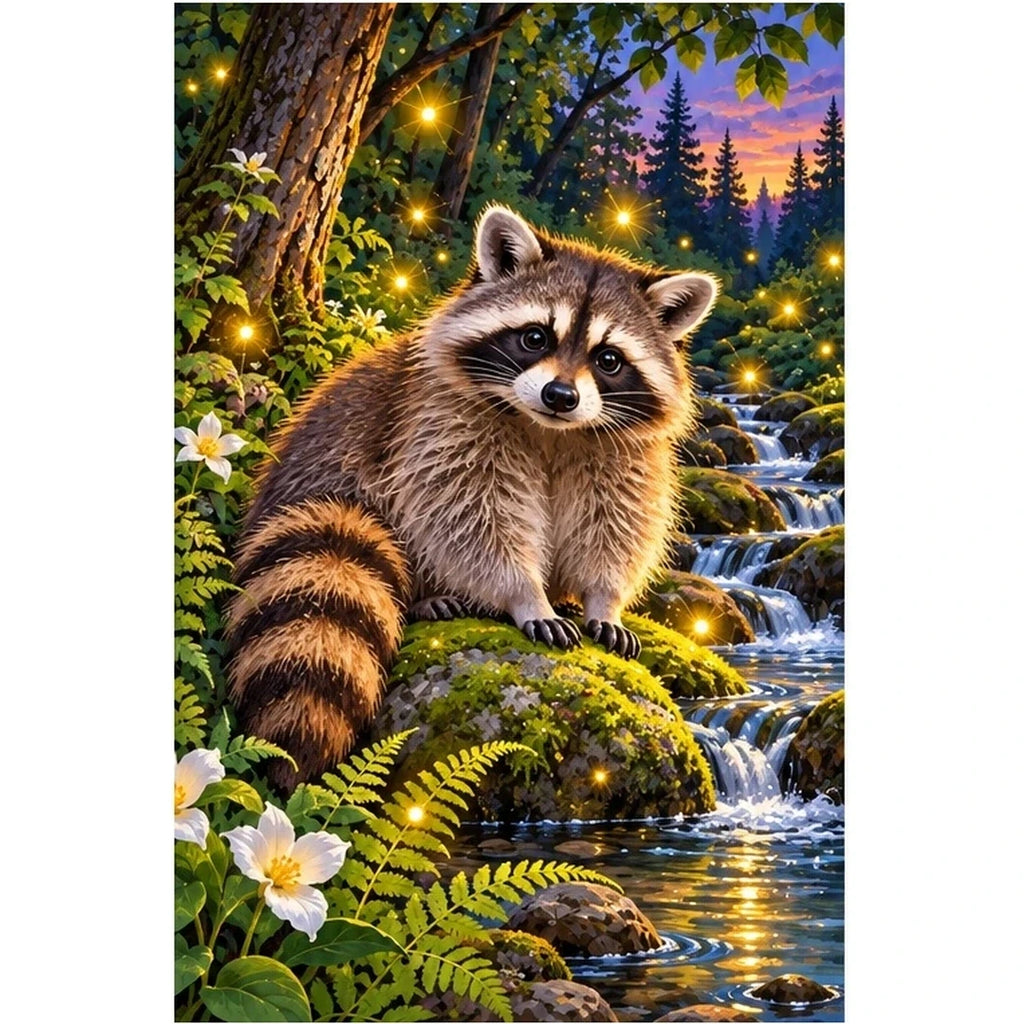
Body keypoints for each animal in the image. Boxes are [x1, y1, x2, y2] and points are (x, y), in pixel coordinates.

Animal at [226, 205, 719, 789]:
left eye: (608, 359)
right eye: (535, 337)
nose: (561, 396)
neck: (551, 429)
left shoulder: (623, 452)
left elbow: (615, 525)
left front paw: (604, 599)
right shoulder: (440, 422)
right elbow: (470, 516)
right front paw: (525, 594)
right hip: (330, 474)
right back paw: (427, 596)